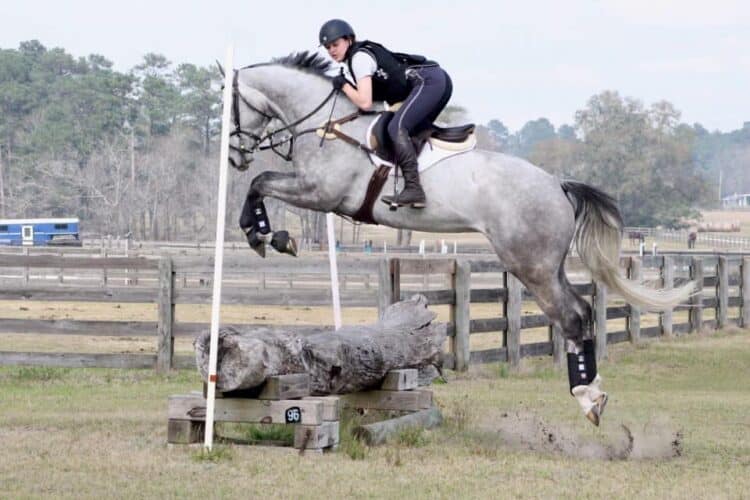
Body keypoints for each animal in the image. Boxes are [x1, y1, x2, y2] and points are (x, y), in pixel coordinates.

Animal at [224, 52, 695, 425]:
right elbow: (260, 183)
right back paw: (591, 392)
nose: (234, 156)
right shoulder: (316, 193)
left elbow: (260, 182)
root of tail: (557, 185)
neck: (328, 124)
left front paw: (265, 234)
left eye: (231, 108)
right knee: (580, 308)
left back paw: (588, 398)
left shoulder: (321, 193)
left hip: (528, 262)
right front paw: (266, 234)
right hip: (546, 263)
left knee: (572, 316)